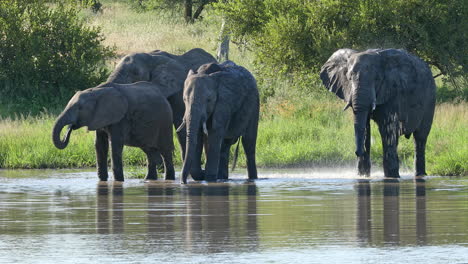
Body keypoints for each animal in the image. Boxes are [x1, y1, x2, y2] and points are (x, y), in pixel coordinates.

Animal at [320, 48, 436, 178]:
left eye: (377, 79)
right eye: (349, 79)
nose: (357, 152)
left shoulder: (393, 91)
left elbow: (387, 129)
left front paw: (391, 177)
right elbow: (365, 126)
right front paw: (363, 176)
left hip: (430, 99)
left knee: (420, 137)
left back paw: (420, 175)